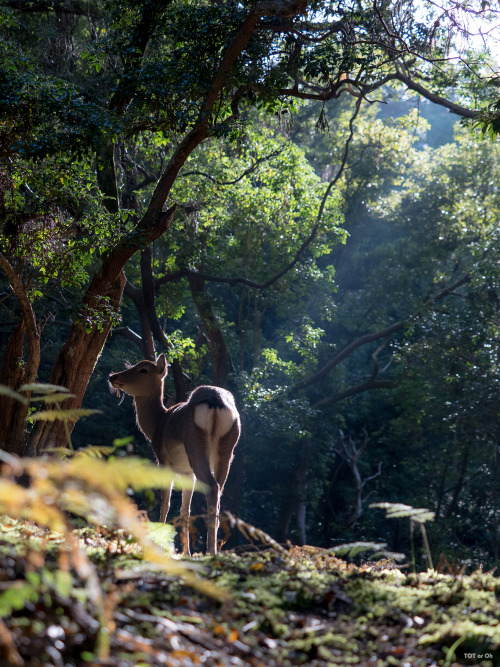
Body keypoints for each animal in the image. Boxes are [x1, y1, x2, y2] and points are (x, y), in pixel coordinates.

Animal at [109, 352, 240, 556]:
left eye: (143, 369)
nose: (113, 376)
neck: (156, 424)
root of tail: (216, 404)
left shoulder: (163, 460)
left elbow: (166, 503)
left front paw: (160, 544)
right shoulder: (187, 473)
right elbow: (184, 510)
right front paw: (186, 552)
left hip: (195, 444)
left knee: (212, 487)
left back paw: (211, 551)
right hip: (228, 448)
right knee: (219, 489)